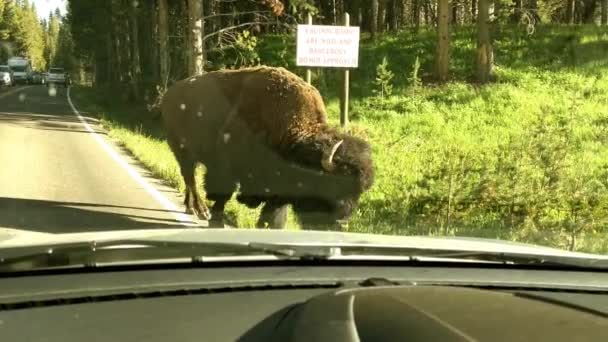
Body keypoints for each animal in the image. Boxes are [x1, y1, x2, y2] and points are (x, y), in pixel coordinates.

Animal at [159, 65, 372, 228]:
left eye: (359, 192)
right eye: (333, 184)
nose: (341, 221)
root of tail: (169, 95)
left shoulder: (278, 188)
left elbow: (273, 214)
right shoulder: (226, 168)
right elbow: (222, 195)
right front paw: (216, 222)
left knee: (189, 179)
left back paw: (190, 207)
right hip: (182, 151)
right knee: (190, 179)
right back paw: (201, 211)